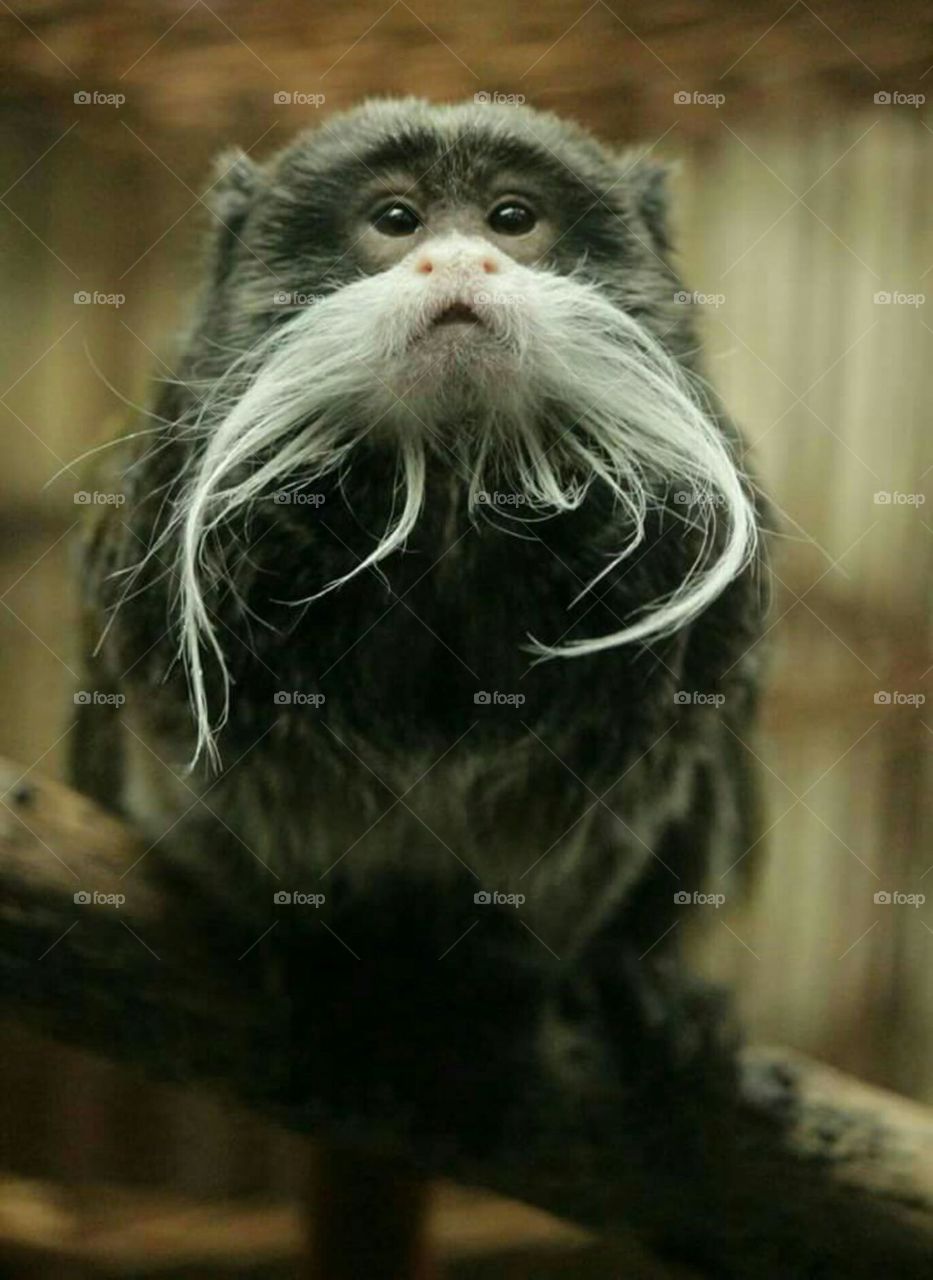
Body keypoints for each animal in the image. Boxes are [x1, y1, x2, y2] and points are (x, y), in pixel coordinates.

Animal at [71, 98, 769, 1275]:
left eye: (512, 218)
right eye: (396, 220)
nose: (458, 257)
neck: (446, 487)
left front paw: (510, 977)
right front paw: (311, 944)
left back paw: (640, 987)